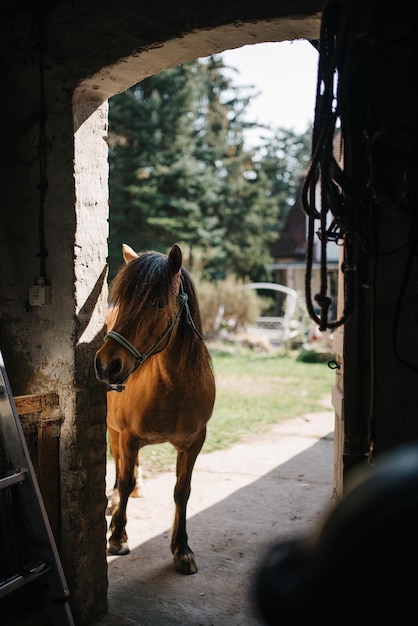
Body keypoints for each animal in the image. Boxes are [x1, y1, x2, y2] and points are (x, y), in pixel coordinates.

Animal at [94, 241, 216, 572]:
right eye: (123, 299)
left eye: (159, 304)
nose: (106, 365)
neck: (173, 388)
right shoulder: (129, 436)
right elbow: (124, 481)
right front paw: (117, 537)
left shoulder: (194, 443)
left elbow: (182, 491)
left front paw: (181, 548)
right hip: (114, 430)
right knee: (119, 463)